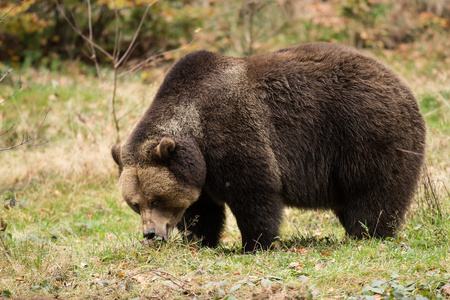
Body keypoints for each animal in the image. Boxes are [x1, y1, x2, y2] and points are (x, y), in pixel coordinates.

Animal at [111, 42, 426, 252]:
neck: (196, 130)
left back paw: (368, 233)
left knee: (373, 190)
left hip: (363, 131)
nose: (151, 233)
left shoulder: (233, 131)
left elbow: (255, 191)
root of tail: (398, 81)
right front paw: (201, 241)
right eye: (135, 203)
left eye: (155, 199)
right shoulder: (199, 171)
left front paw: (254, 243)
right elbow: (201, 209)